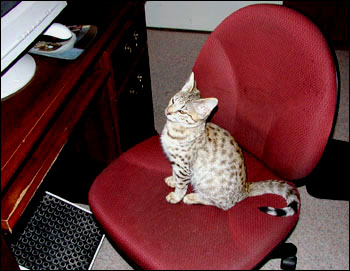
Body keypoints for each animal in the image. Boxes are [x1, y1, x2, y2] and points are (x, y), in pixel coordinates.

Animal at [160, 72, 300, 217]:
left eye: (182, 112)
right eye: (173, 100)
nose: (168, 111)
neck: (174, 130)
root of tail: (245, 189)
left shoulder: (184, 167)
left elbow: (181, 185)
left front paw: (176, 196)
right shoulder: (175, 162)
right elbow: (175, 173)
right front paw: (173, 180)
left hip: (208, 186)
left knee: (223, 205)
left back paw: (193, 197)